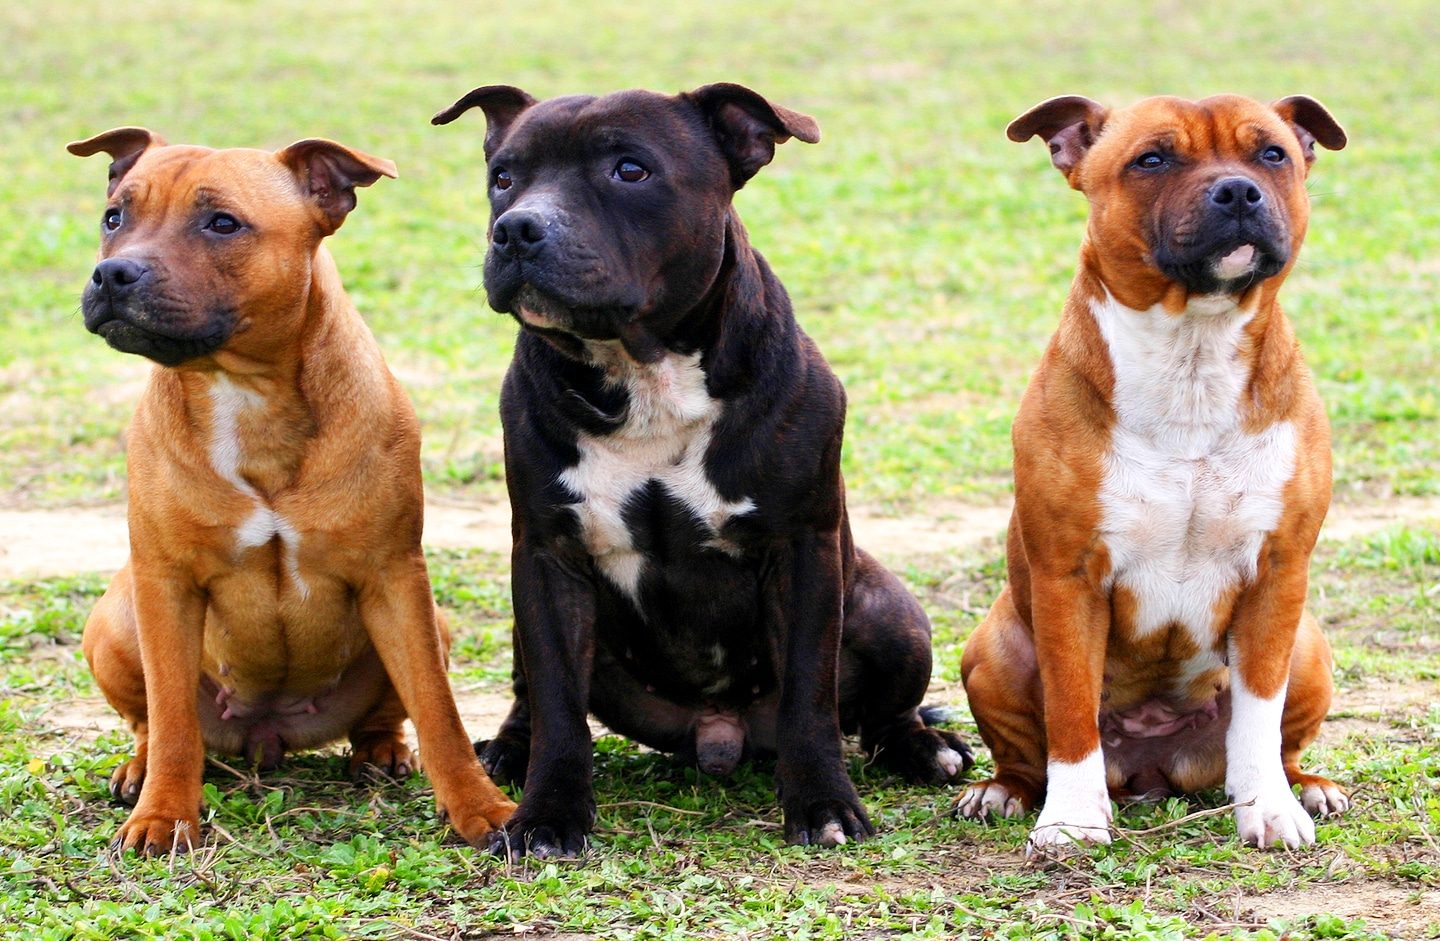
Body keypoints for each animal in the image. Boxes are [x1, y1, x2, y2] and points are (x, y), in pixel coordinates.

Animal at [70, 124, 518, 853]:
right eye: (115, 217)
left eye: (222, 223)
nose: (114, 272)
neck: (244, 389)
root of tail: (268, 731)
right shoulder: (166, 583)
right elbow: (171, 720)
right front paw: (164, 816)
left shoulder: (395, 577)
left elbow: (438, 709)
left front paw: (485, 808)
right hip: (113, 619)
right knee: (151, 722)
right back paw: (138, 769)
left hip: (432, 623)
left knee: (387, 713)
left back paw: (382, 750)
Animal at [426, 84, 967, 853]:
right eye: (503, 176)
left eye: (630, 170)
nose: (517, 229)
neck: (644, 374)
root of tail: (718, 733)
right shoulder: (547, 557)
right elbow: (560, 705)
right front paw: (547, 815)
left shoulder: (804, 550)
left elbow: (810, 695)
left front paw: (825, 805)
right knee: (533, 693)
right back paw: (507, 748)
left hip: (891, 613)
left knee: (881, 711)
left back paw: (924, 748)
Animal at [956, 93, 1347, 853]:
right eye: (1152, 159)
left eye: (1272, 154)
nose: (1238, 192)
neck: (1192, 354)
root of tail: (1153, 766)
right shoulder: (1070, 576)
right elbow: (1070, 708)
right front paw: (1072, 819)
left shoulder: (1278, 573)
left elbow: (1259, 710)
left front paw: (1269, 807)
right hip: (992, 648)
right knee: (1026, 753)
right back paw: (1002, 790)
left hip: (1310, 645)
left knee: (1280, 736)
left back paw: (1306, 785)